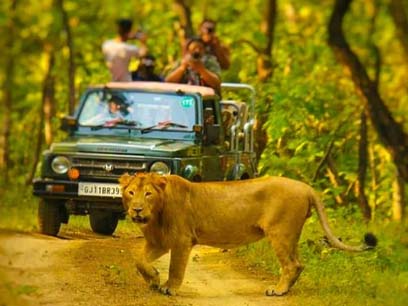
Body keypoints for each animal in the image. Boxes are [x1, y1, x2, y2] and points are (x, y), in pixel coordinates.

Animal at [119, 173, 378, 298]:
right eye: (131, 192)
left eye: (148, 194)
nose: (137, 209)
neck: (155, 215)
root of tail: (306, 187)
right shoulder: (159, 241)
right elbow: (139, 260)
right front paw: (153, 279)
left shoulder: (182, 240)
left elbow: (175, 268)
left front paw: (168, 288)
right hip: (290, 235)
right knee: (299, 264)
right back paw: (286, 289)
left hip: (280, 233)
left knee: (292, 264)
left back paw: (278, 291)